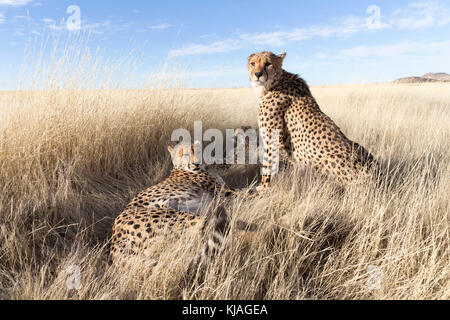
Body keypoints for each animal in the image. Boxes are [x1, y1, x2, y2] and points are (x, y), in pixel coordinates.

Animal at [248, 51, 378, 189]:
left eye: (268, 64)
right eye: (252, 63)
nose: (257, 74)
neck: (274, 83)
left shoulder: (272, 139)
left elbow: (267, 165)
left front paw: (263, 188)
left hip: (331, 159)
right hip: (359, 146)